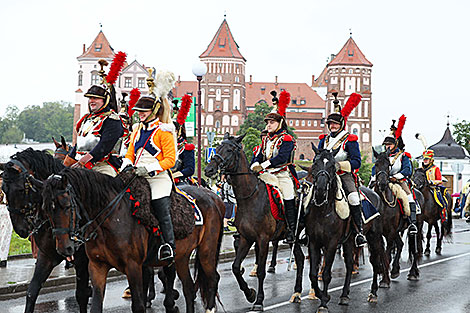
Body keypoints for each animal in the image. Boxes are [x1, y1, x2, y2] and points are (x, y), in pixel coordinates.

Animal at [0, 148, 91, 312]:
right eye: (3, 189)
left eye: (21, 190)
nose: (20, 230)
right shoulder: (46, 257)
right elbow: (32, 291)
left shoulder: (82, 261)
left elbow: (82, 295)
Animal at [40, 168, 224, 312]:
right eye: (46, 209)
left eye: (66, 206)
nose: (64, 248)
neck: (110, 219)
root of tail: (213, 197)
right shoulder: (97, 266)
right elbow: (96, 306)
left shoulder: (133, 266)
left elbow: (139, 306)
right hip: (182, 256)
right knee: (188, 288)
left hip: (206, 251)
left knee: (212, 278)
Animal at [205, 133, 306, 310]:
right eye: (217, 148)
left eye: (229, 150)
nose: (208, 169)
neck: (250, 197)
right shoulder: (246, 238)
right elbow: (235, 267)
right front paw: (249, 293)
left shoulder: (263, 239)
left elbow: (260, 271)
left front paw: (259, 300)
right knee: (300, 259)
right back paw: (297, 293)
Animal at [302, 144, 390, 312]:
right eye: (315, 164)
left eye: (331, 166)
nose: (320, 190)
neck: (323, 210)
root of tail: (376, 194)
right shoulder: (314, 243)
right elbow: (313, 274)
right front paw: (323, 296)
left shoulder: (331, 243)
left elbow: (326, 274)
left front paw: (323, 303)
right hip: (349, 240)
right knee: (349, 265)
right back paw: (344, 295)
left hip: (373, 237)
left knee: (375, 262)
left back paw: (373, 293)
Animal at [372, 149, 424, 280]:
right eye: (376, 164)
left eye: (388, 165)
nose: (382, 183)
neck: (383, 202)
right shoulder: (382, 232)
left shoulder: (390, 231)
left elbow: (387, 252)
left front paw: (384, 278)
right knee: (401, 245)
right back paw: (396, 270)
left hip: (416, 227)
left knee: (414, 248)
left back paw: (413, 272)